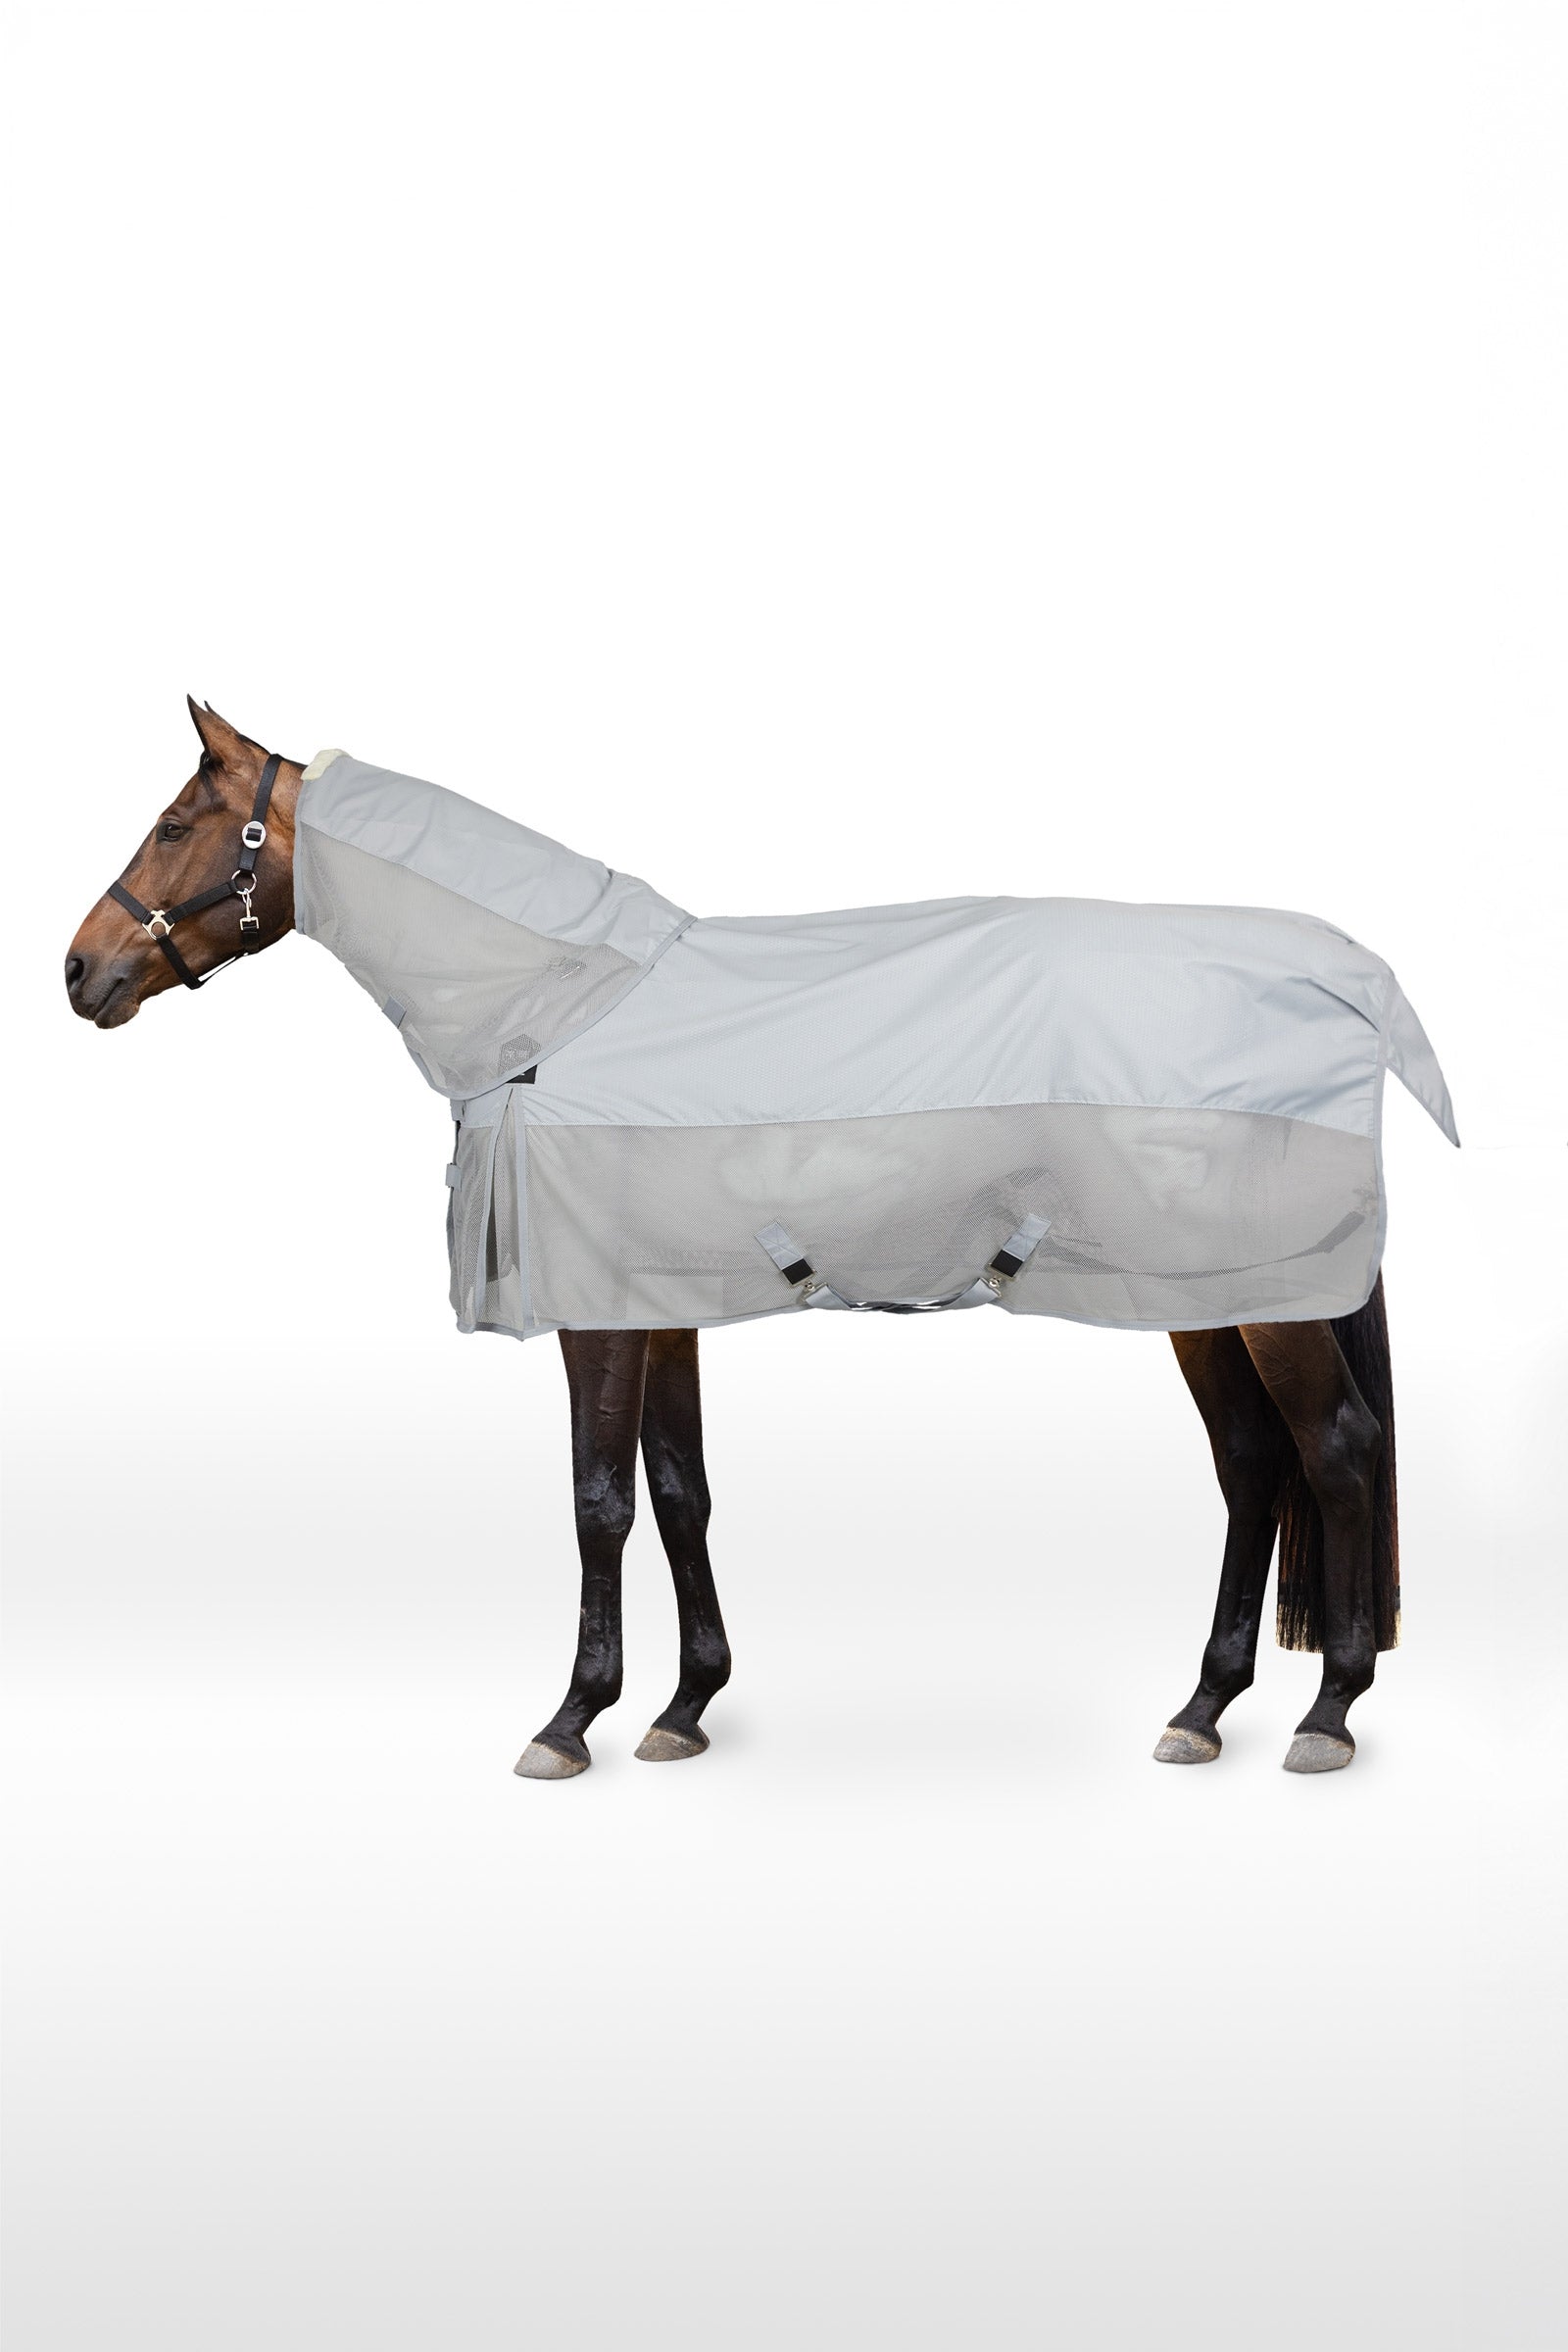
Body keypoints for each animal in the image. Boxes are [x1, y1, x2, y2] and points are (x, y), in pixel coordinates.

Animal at [66, 697, 1417, 1780]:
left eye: (176, 825)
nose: (80, 971)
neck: (563, 1009)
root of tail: (1342, 979)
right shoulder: (658, 1308)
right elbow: (680, 1492)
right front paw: (684, 1707)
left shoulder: (598, 1314)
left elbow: (599, 1501)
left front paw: (572, 1720)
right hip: (1200, 1293)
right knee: (1252, 1464)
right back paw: (1204, 1707)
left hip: (1265, 1300)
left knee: (1336, 1450)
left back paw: (1328, 1713)